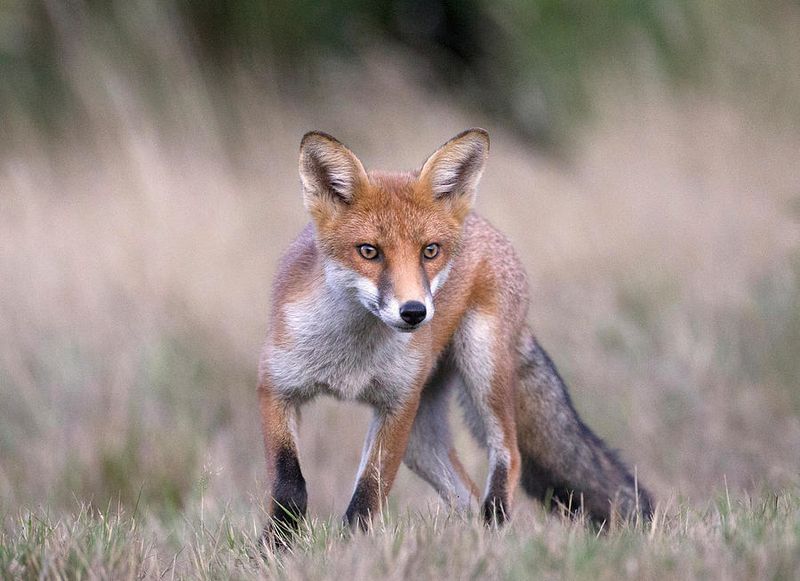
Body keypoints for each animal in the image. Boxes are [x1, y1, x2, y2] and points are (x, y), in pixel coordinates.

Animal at [258, 128, 653, 542]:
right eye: (368, 251)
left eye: (430, 251)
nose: (414, 312)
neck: (351, 359)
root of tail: (483, 224)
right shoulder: (276, 387)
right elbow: (289, 484)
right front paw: (277, 545)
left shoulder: (398, 404)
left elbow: (368, 492)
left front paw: (352, 545)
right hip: (421, 440)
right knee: (466, 495)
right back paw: (476, 538)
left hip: (482, 367)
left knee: (508, 455)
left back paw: (494, 530)